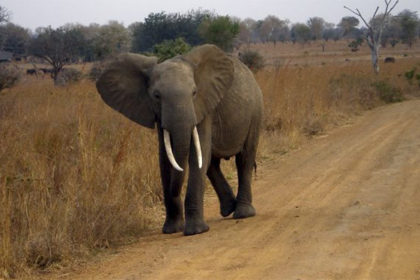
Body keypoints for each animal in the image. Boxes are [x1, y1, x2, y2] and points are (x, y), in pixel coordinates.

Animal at [97, 44, 264, 235]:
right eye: (156, 96)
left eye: (194, 92)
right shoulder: (160, 115)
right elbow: (165, 159)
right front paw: (171, 229)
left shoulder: (203, 107)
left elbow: (196, 156)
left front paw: (196, 231)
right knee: (211, 164)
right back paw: (228, 209)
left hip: (256, 111)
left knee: (244, 159)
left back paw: (243, 213)